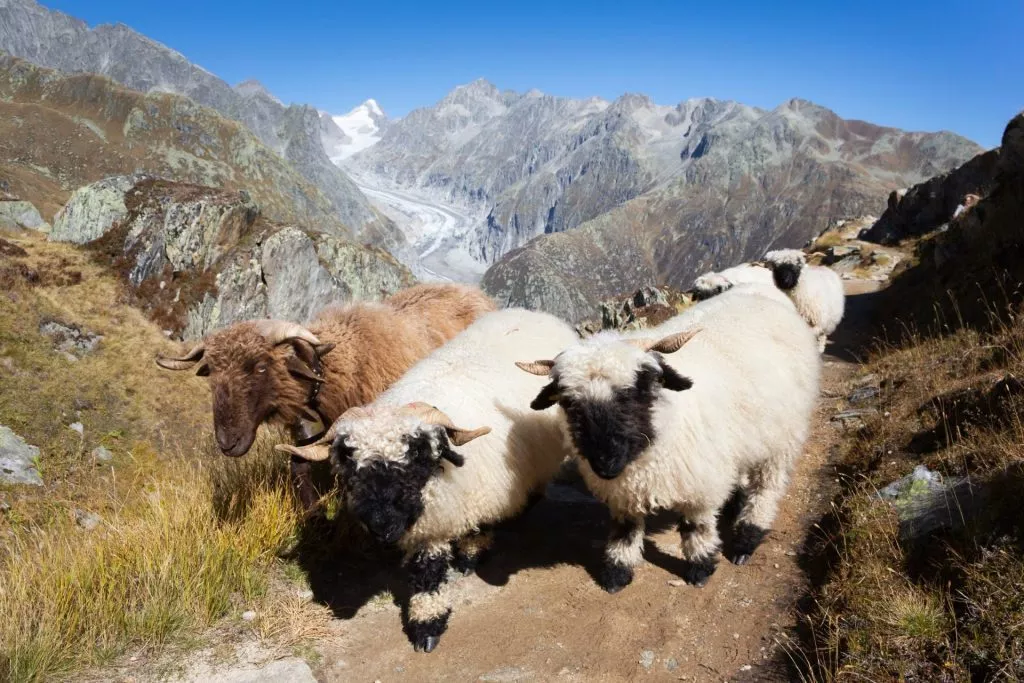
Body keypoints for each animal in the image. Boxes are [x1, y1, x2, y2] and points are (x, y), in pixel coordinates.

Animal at [152, 280, 499, 509]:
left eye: (260, 367)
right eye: (211, 372)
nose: (227, 441)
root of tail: (475, 293)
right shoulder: (306, 434)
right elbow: (299, 465)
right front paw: (313, 513)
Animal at [276, 309, 581, 651]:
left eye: (416, 455)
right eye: (352, 465)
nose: (383, 527)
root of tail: (531, 312)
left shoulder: (464, 499)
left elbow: (455, 549)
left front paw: (463, 567)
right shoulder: (433, 517)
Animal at [516, 282, 819, 593]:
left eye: (638, 389)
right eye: (568, 403)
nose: (605, 465)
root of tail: (760, 292)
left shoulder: (700, 485)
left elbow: (696, 528)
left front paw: (700, 568)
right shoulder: (625, 492)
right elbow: (625, 532)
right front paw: (617, 572)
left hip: (784, 438)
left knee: (767, 488)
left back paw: (746, 540)